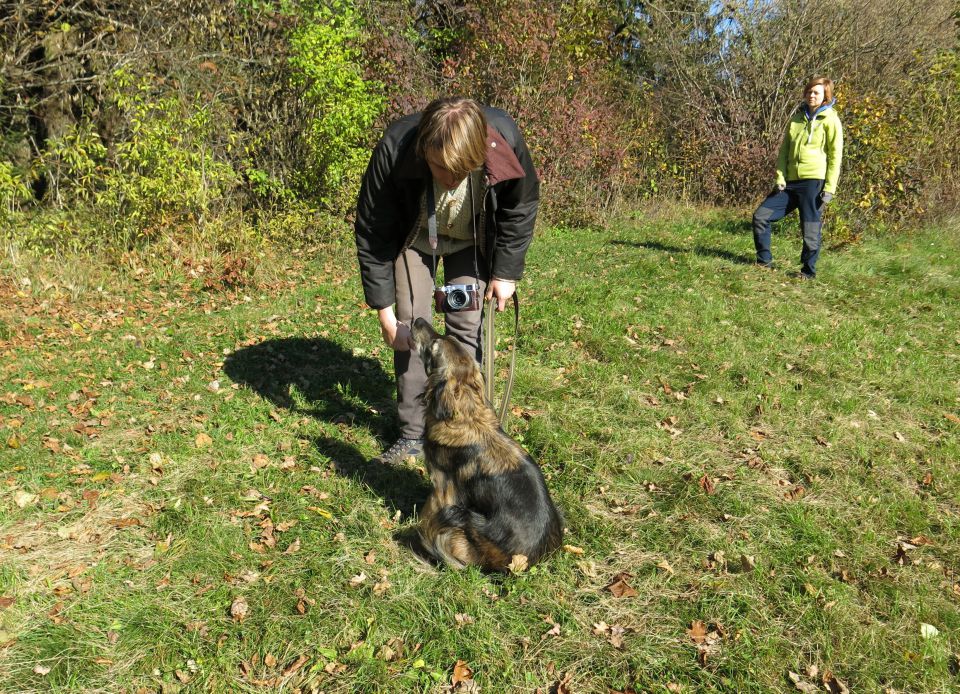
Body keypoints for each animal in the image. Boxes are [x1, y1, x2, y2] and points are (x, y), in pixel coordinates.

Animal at [406, 318, 564, 572]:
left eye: (434, 347)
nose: (418, 320)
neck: (467, 414)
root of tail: (522, 564)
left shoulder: (443, 489)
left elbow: (428, 515)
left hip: (458, 519)